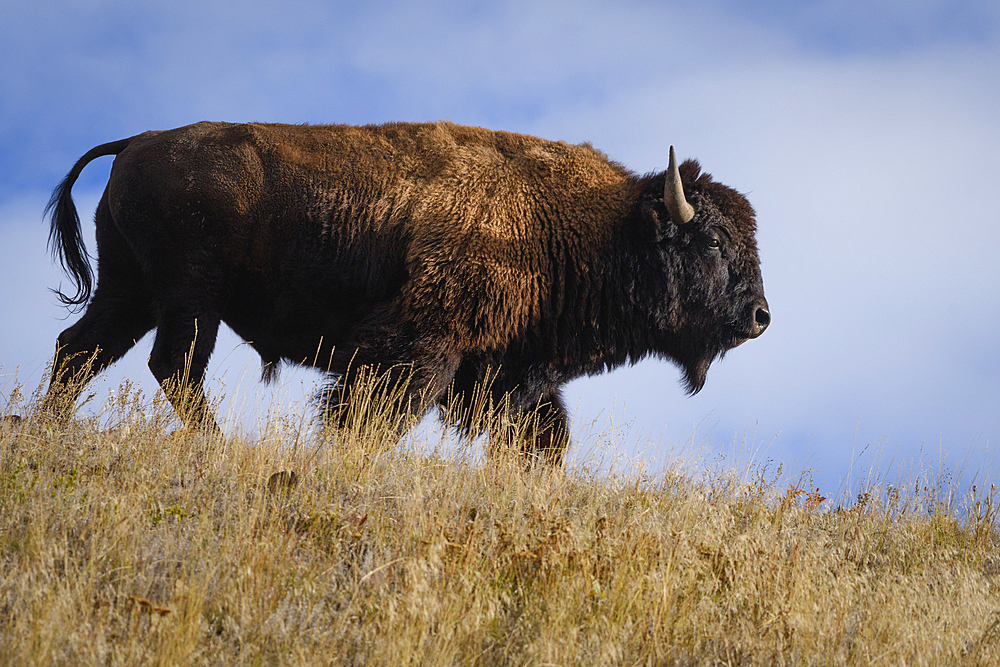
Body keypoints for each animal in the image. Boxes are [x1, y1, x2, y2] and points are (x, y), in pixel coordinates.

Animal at [43, 121, 768, 464]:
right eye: (711, 242)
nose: (760, 316)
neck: (587, 223)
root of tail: (137, 141)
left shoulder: (515, 376)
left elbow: (545, 438)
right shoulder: (421, 347)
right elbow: (369, 413)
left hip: (132, 295)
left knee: (81, 349)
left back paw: (45, 424)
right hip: (190, 300)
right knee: (172, 366)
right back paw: (215, 445)